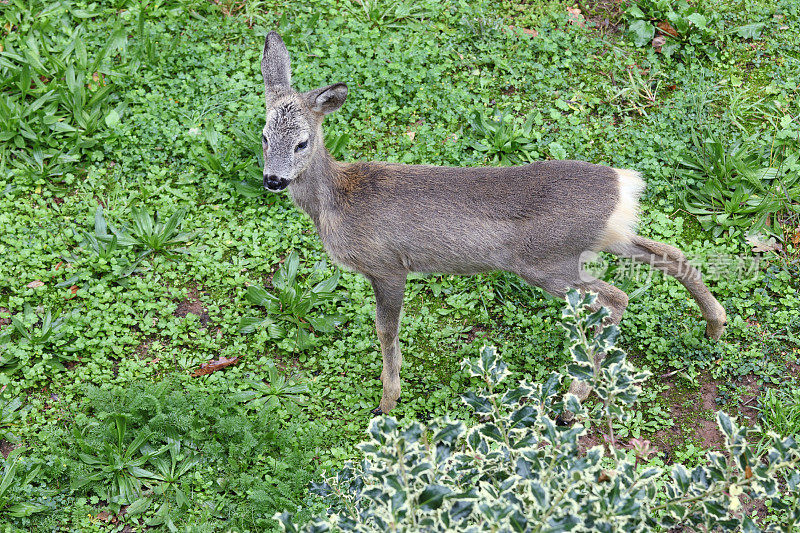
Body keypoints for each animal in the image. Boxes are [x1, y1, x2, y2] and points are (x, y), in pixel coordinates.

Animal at [260, 31, 728, 418]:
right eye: (263, 136)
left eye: (301, 141)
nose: (273, 180)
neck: (339, 201)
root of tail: (624, 185)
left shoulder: (388, 266)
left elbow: (386, 332)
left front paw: (387, 402)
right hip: (599, 242)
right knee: (668, 253)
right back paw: (715, 326)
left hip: (545, 261)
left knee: (614, 298)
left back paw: (574, 397)